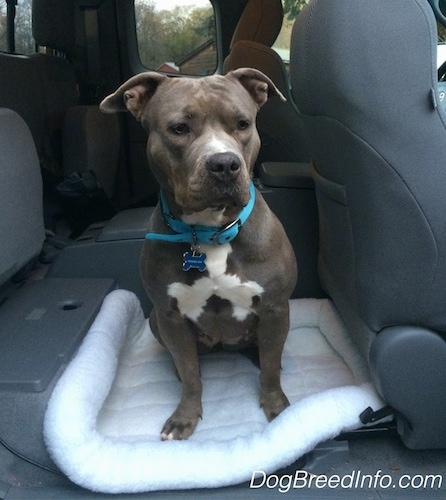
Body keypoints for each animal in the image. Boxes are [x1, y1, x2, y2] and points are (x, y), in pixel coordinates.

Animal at [99, 68, 298, 440]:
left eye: (243, 124)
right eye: (179, 128)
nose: (225, 163)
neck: (210, 232)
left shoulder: (276, 308)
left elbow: (270, 372)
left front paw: (279, 410)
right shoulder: (171, 316)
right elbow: (191, 374)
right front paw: (184, 417)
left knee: (268, 355)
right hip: (154, 320)